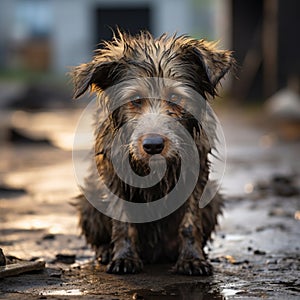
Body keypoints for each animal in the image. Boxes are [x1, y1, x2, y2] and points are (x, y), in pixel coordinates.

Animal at [71, 31, 234, 276]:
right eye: (135, 100)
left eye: (175, 98)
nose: (153, 145)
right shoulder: (114, 177)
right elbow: (122, 222)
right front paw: (124, 257)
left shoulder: (195, 177)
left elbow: (189, 223)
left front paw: (192, 258)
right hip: (88, 200)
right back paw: (106, 250)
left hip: (213, 198)